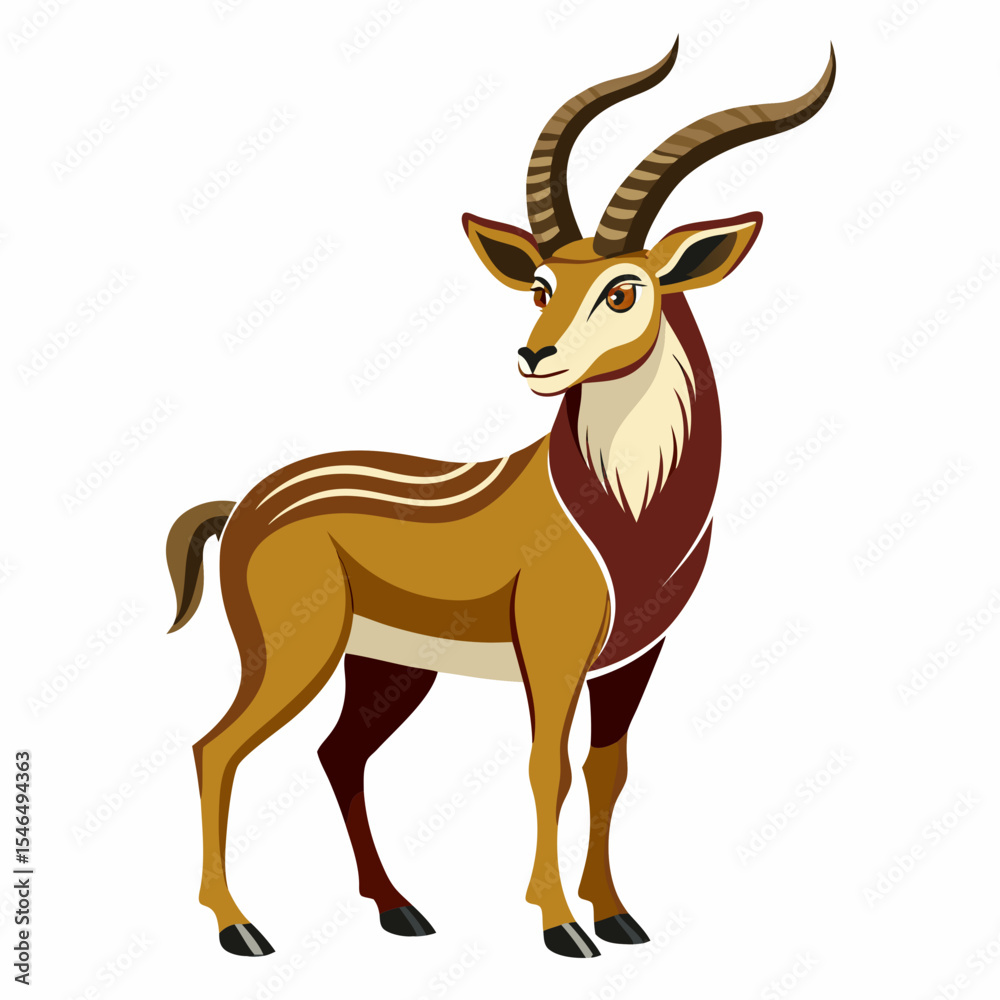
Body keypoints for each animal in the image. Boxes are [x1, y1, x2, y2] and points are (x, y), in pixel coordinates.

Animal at [166, 39, 835, 959]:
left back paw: (401, 911)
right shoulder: (551, 650)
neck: (626, 513)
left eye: (623, 287)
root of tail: (243, 507)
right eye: (540, 284)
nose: (534, 356)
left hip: (388, 665)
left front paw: (618, 915)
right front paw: (562, 927)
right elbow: (544, 765)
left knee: (339, 754)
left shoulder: (634, 657)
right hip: (293, 654)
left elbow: (606, 769)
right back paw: (241, 929)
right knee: (215, 747)